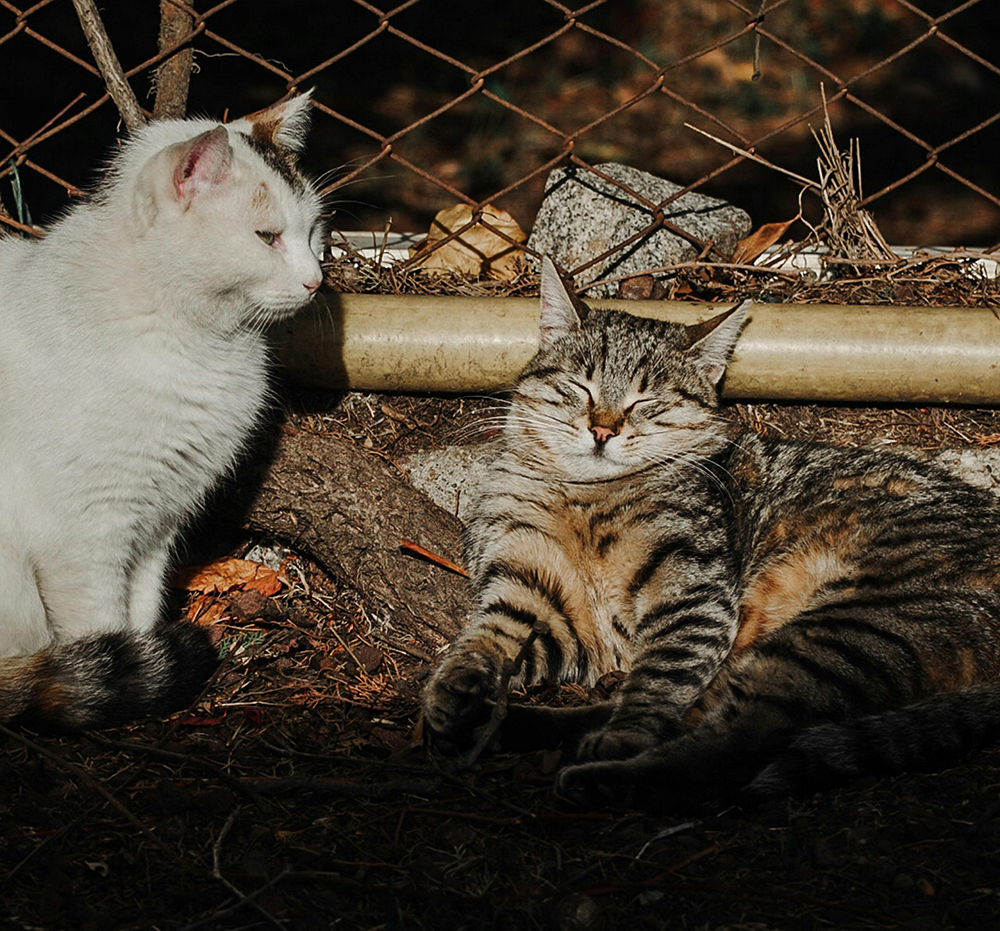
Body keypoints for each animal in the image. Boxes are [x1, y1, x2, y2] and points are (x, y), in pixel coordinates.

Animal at [422, 255, 1000, 808]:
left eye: (646, 402)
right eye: (579, 386)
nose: (603, 429)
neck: (585, 495)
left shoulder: (691, 597)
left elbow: (657, 683)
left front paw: (625, 734)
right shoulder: (541, 600)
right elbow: (489, 639)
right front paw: (454, 688)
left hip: (840, 634)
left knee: (730, 748)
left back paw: (605, 773)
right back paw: (509, 724)